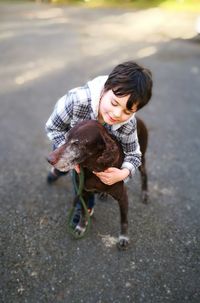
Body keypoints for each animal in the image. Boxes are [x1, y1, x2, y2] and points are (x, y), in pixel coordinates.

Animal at [46, 117, 148, 251]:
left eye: (76, 143)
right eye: (66, 138)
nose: (49, 159)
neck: (93, 168)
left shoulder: (123, 197)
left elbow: (124, 220)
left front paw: (124, 237)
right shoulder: (83, 192)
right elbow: (84, 213)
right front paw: (80, 227)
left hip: (142, 160)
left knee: (144, 174)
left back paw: (145, 193)